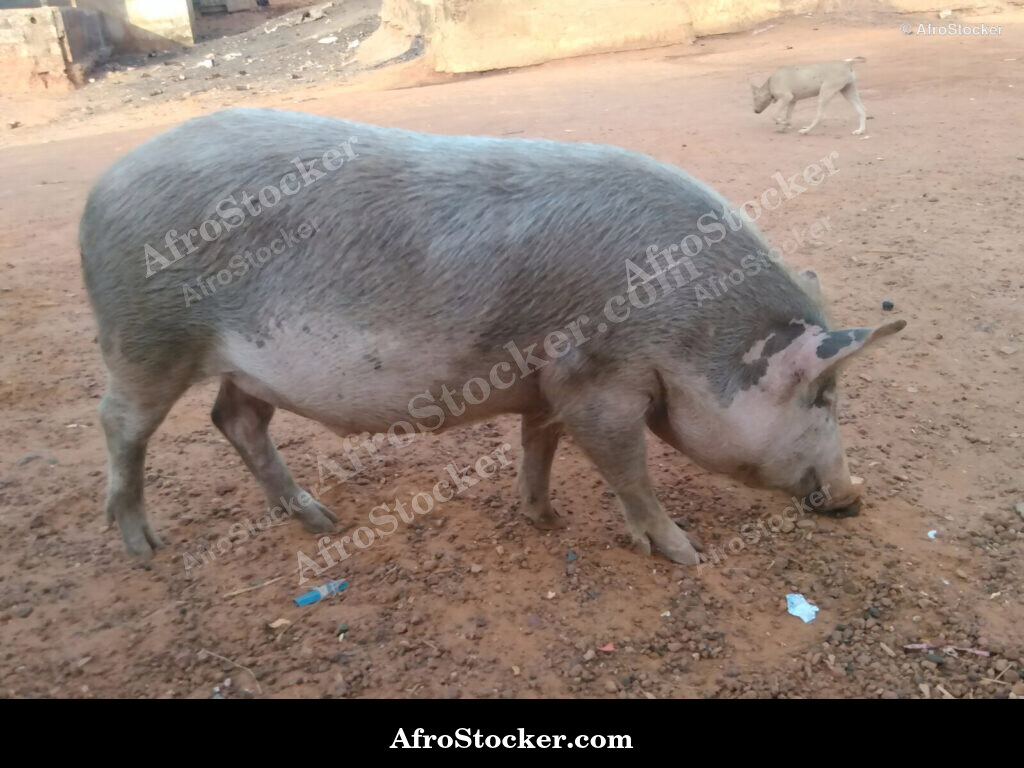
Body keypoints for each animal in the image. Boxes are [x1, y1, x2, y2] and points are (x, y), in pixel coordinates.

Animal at [80, 108, 904, 565]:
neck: (692, 325)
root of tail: (102, 186)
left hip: (245, 364)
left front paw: (545, 518)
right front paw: (686, 555)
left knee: (234, 417)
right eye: (824, 397)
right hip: (145, 337)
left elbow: (539, 444)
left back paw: (321, 521)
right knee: (119, 422)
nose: (855, 498)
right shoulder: (598, 383)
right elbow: (629, 471)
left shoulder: (549, 381)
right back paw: (143, 550)